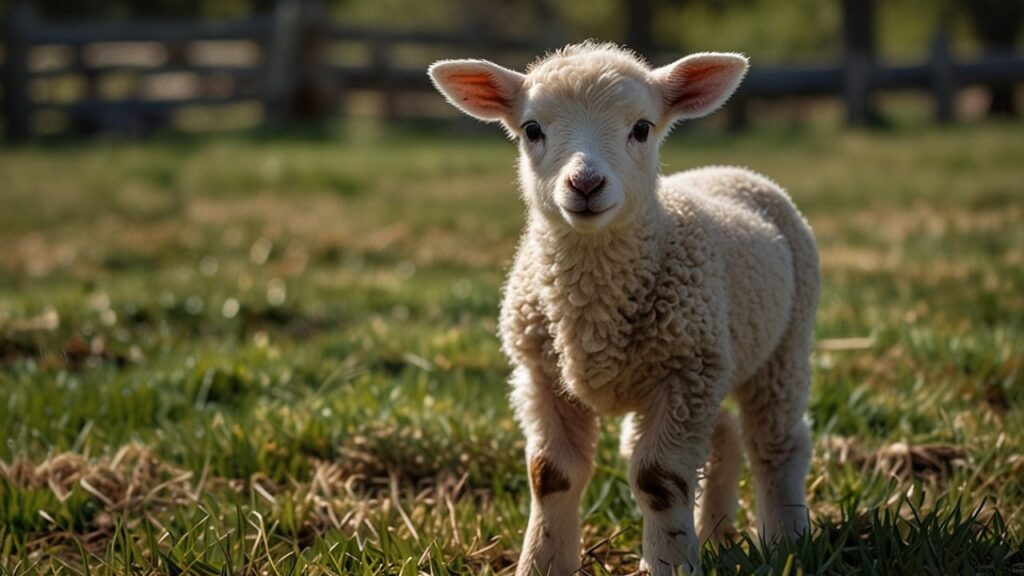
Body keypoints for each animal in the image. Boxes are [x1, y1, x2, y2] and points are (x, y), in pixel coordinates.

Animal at [428, 42, 819, 576]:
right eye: (532, 129)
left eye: (641, 128)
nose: (586, 184)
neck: (593, 309)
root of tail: (731, 171)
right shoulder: (542, 375)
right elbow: (551, 475)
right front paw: (542, 562)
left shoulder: (684, 373)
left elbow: (658, 480)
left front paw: (670, 564)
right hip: (713, 365)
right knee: (724, 437)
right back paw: (716, 536)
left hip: (783, 345)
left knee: (777, 443)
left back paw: (786, 539)